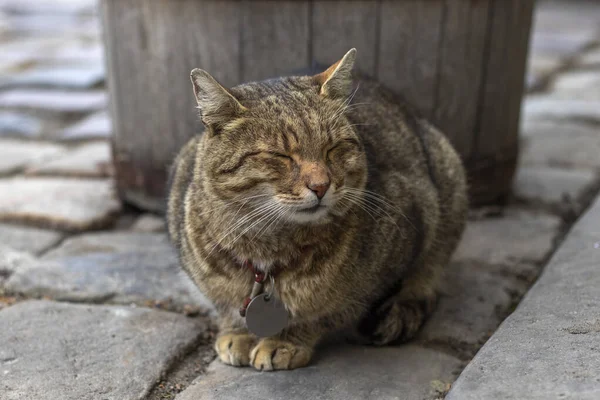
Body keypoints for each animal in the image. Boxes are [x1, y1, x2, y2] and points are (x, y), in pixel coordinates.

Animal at [168, 48, 468, 370]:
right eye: (281, 156)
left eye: (332, 148)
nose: (321, 185)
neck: (266, 252)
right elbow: (226, 305)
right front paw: (237, 333)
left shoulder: (414, 219)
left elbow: (325, 312)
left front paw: (285, 341)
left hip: (448, 172)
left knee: (427, 276)